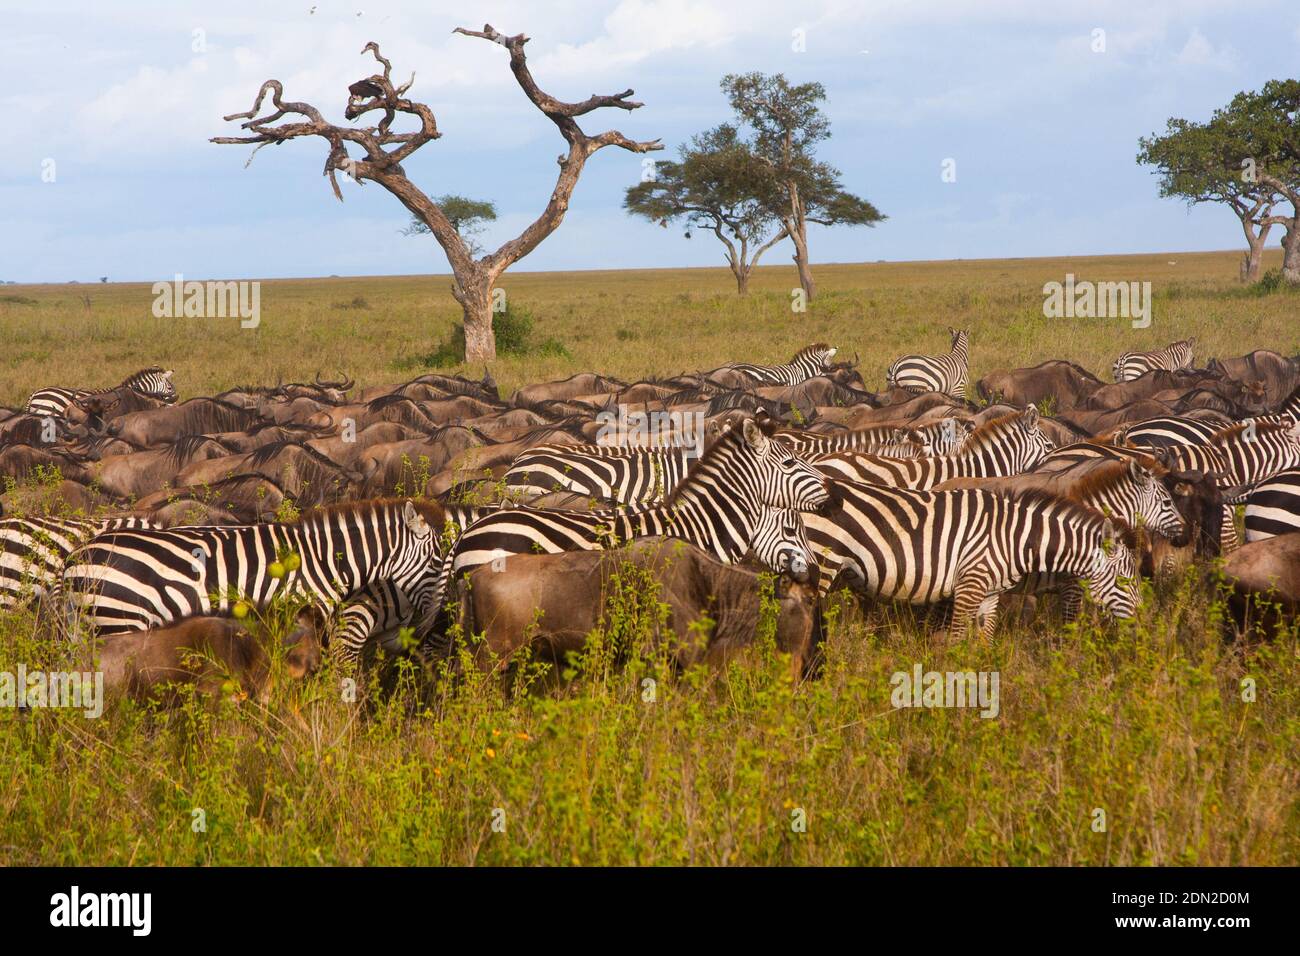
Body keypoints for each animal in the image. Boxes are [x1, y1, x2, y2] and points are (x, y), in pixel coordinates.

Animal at [61, 496, 447, 639]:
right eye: (436, 562)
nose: (433, 620)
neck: (321, 560)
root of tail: (75, 557)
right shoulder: (294, 614)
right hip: (117, 622)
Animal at [800, 481, 1138, 639]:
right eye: (1126, 581)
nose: (1139, 626)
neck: (1016, 538)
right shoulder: (969, 586)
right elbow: (957, 637)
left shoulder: (990, 592)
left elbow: (984, 638)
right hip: (821, 565)